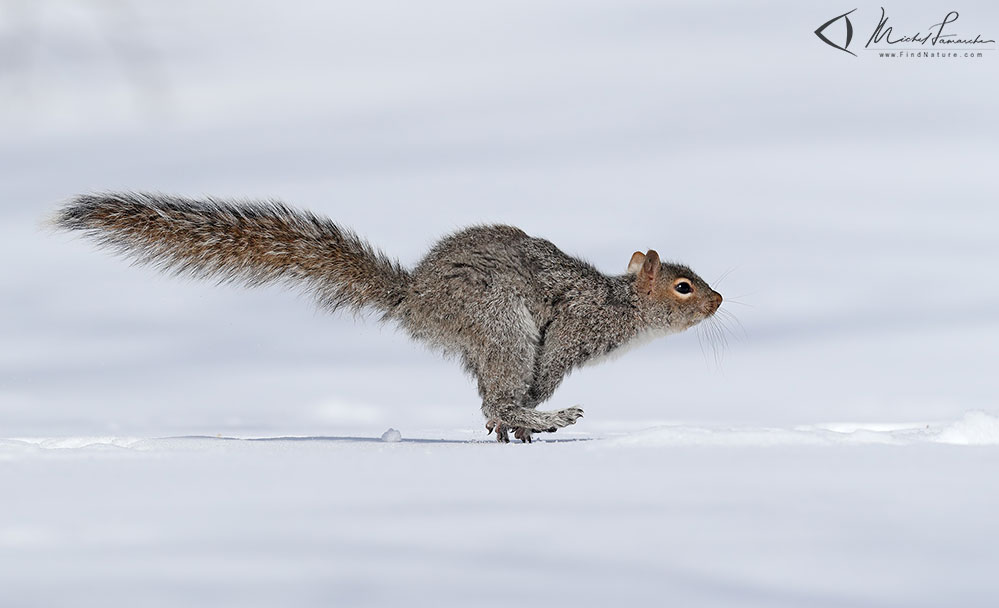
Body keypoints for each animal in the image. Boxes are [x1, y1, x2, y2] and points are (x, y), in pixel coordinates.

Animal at [54, 192, 724, 444]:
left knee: (486, 399)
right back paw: (540, 415)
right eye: (684, 287)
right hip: (500, 323)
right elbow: (550, 361)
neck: (622, 307)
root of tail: (416, 298)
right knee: (498, 393)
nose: (720, 301)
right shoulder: (572, 327)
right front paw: (541, 398)